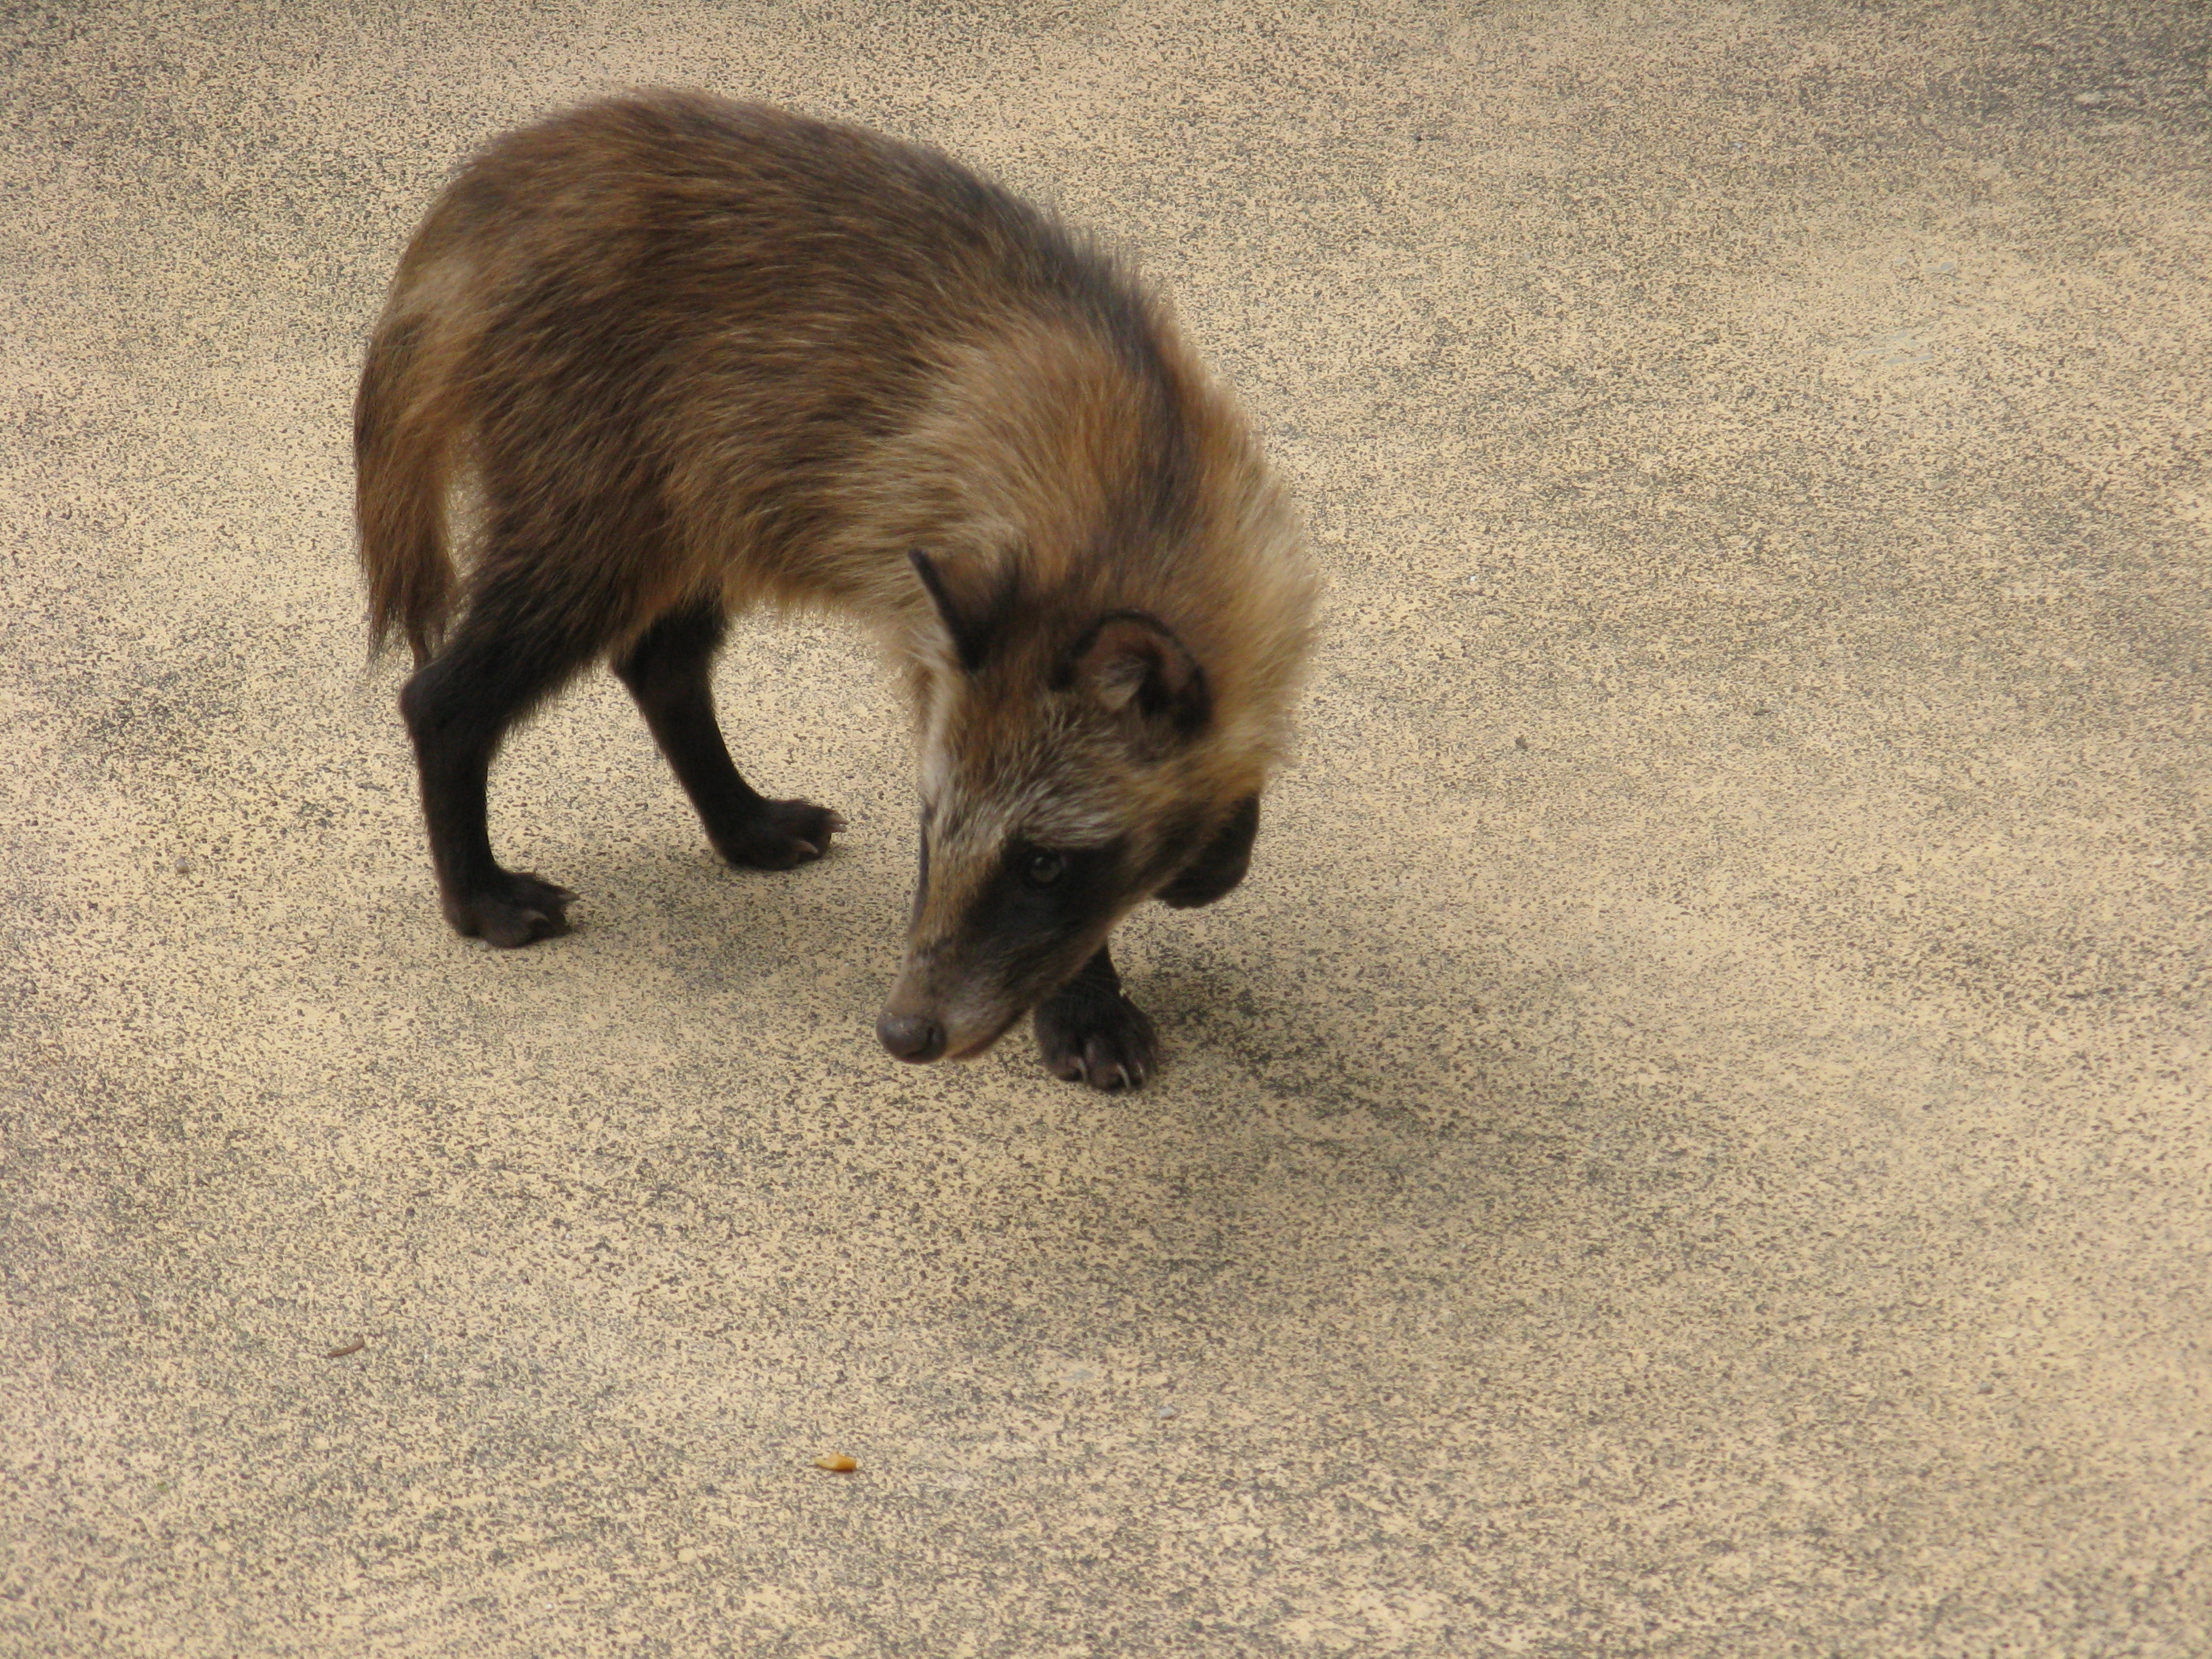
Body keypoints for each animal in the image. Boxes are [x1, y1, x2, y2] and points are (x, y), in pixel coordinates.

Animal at [349, 97, 1309, 1097]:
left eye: (1045, 863)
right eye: (930, 828)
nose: (904, 1032)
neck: (1137, 501)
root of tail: (498, 186)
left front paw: (1217, 844)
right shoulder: (937, 607)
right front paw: (1086, 995)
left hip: (695, 503)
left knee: (662, 660)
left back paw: (738, 816)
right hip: (588, 489)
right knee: (448, 694)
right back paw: (475, 884)